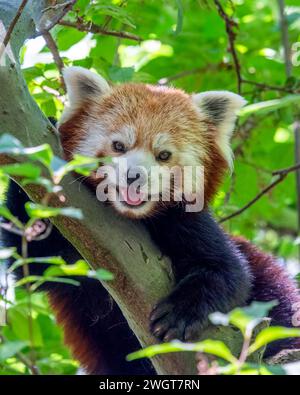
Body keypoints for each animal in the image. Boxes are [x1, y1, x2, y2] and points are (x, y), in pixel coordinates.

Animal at [2, 66, 300, 376]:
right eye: (118, 146)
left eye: (164, 155)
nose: (134, 175)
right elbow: (32, 261)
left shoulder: (188, 221)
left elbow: (230, 272)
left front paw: (179, 313)